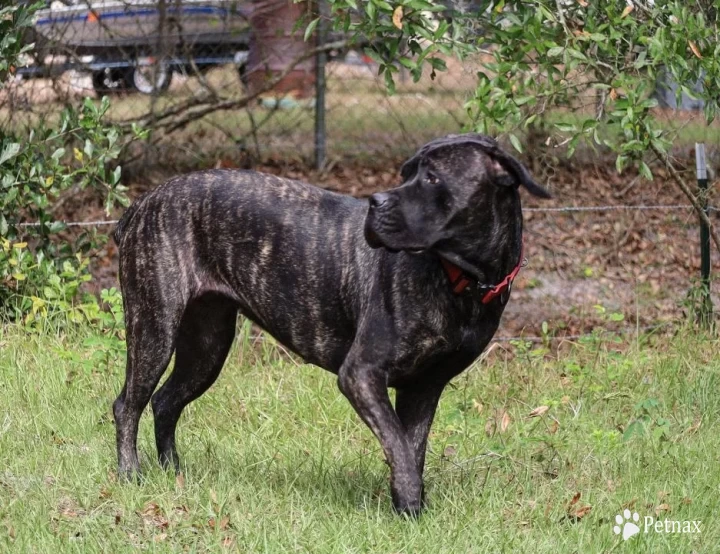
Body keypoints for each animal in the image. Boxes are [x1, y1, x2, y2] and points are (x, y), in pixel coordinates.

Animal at [112, 133, 552, 512]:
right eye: (406, 173)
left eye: (431, 177)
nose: (376, 201)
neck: (462, 280)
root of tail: (143, 203)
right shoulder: (361, 374)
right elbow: (398, 444)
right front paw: (411, 509)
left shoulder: (424, 387)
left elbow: (411, 449)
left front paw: (407, 505)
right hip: (154, 327)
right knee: (127, 405)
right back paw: (131, 475)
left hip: (207, 346)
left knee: (165, 401)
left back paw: (173, 473)